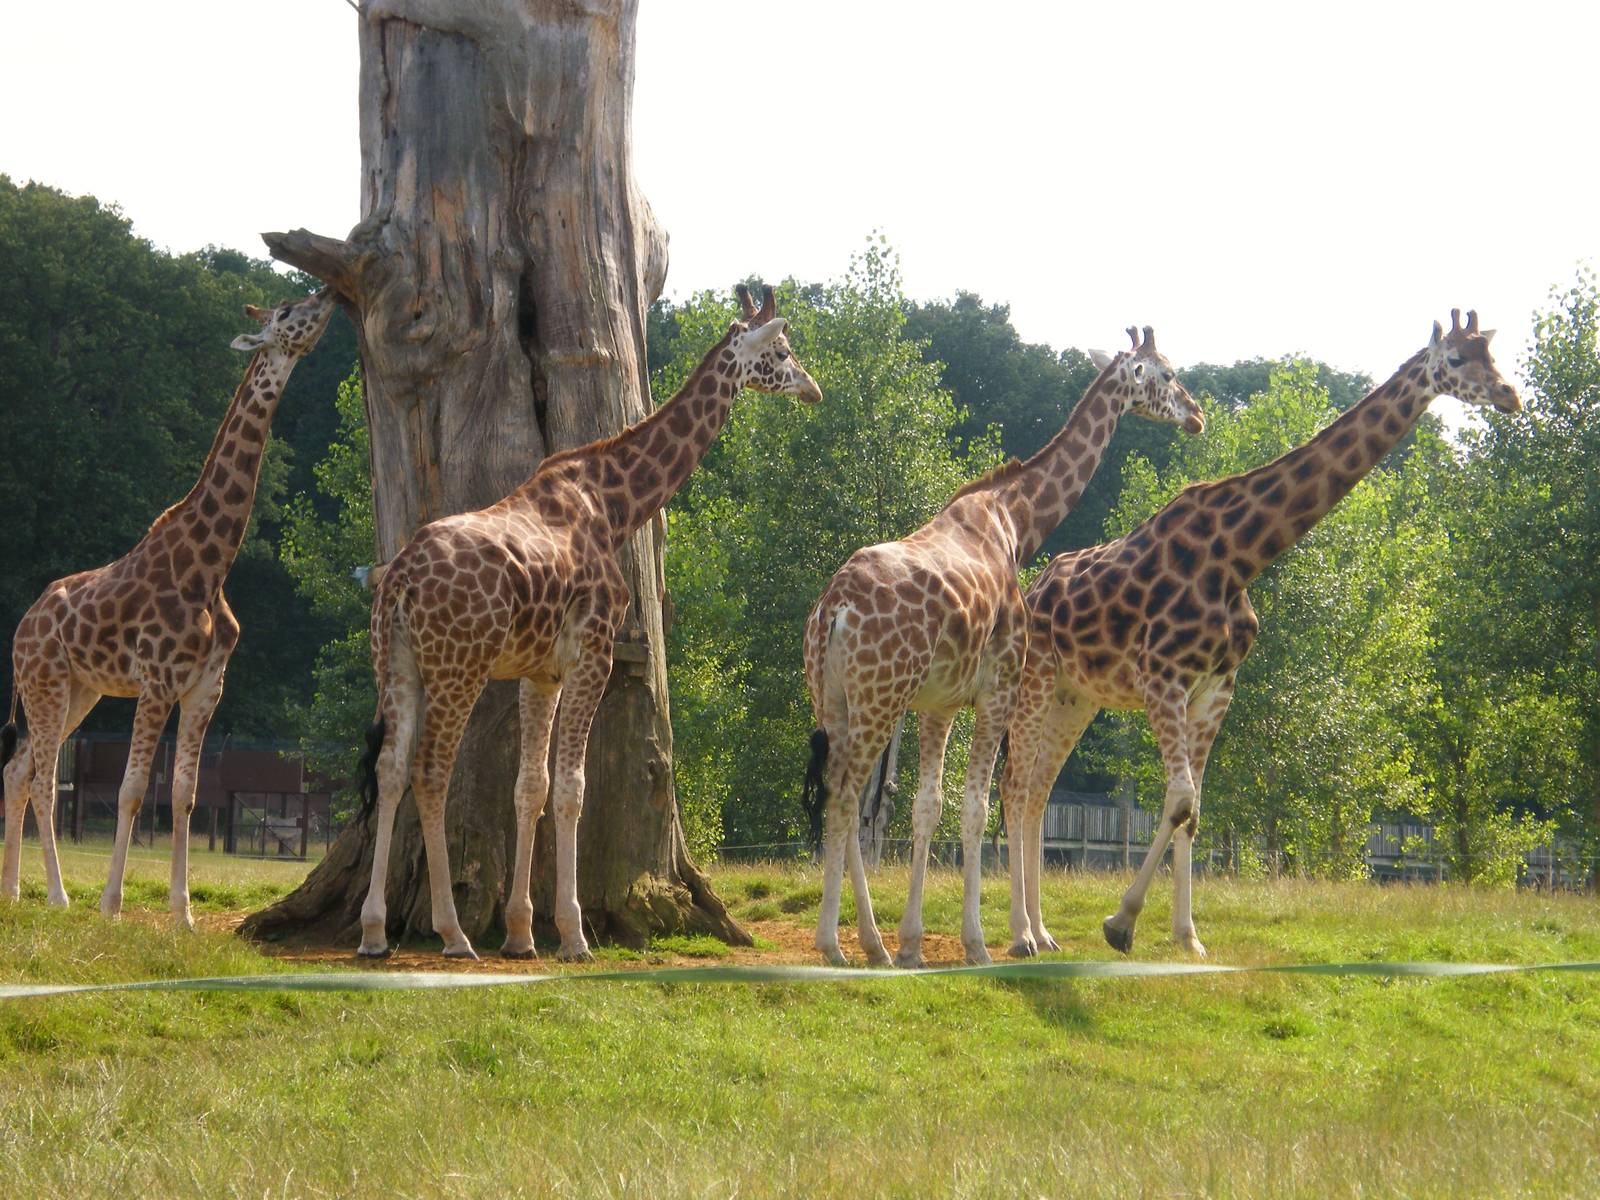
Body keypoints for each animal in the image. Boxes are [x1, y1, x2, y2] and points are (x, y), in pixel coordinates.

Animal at [1, 289, 338, 927]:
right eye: (285, 314)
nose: (328, 295)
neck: (209, 567)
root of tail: (21, 628)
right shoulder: (157, 681)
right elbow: (133, 789)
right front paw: (111, 905)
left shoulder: (207, 686)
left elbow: (183, 794)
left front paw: (182, 914)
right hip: (45, 681)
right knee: (44, 780)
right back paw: (57, 896)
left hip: (79, 690)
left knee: (18, 770)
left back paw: (10, 892)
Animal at [356, 286, 821, 962]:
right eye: (783, 351)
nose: (814, 389)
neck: (616, 505)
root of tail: (398, 583)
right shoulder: (593, 652)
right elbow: (572, 789)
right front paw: (573, 933)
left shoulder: (540, 672)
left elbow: (530, 787)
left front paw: (521, 932)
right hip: (457, 666)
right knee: (430, 772)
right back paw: (452, 933)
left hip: (395, 663)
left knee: (389, 769)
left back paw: (372, 931)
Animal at [802, 327, 1205, 967]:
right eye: (1166, 374)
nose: (1196, 415)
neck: (1014, 519)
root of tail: (833, 612)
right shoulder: (997, 687)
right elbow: (977, 807)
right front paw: (980, 943)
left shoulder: (939, 704)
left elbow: (927, 807)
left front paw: (912, 943)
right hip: (879, 698)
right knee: (843, 795)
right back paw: (834, 944)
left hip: (832, 697)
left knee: (845, 794)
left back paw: (871, 943)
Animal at [1000, 311, 1521, 959]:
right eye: (1454, 361)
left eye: (1491, 355)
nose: (1510, 396)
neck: (1240, 557)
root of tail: (1032, 589)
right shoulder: (1163, 677)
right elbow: (1180, 800)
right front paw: (1120, 924)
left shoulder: (1216, 686)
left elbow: (1192, 809)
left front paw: (1187, 938)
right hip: (1037, 679)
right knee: (1015, 785)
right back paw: (1020, 935)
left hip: (1079, 697)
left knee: (1039, 790)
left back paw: (1043, 932)